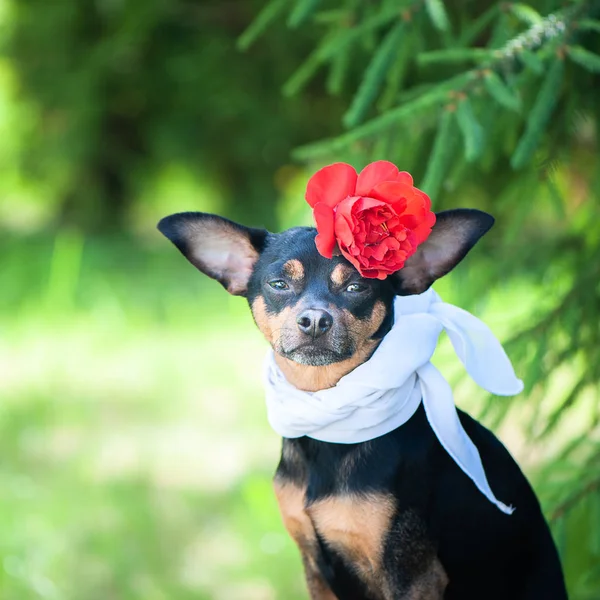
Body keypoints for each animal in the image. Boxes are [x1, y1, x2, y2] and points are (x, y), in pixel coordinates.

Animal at [158, 209, 568, 596]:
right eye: (279, 285)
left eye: (356, 286)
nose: (314, 319)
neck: (329, 414)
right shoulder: (314, 568)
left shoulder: (412, 575)